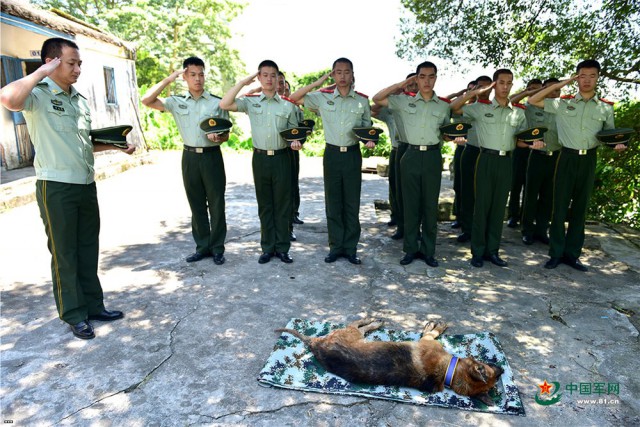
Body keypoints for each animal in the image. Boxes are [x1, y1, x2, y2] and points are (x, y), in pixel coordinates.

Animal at [276, 320, 504, 406]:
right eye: (492, 368)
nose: (502, 368)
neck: (450, 374)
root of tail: (315, 344)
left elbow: (431, 332)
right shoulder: (428, 341)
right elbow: (433, 332)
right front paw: (436, 326)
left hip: (350, 334)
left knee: (358, 325)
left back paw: (375, 321)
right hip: (351, 334)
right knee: (358, 323)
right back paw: (375, 321)